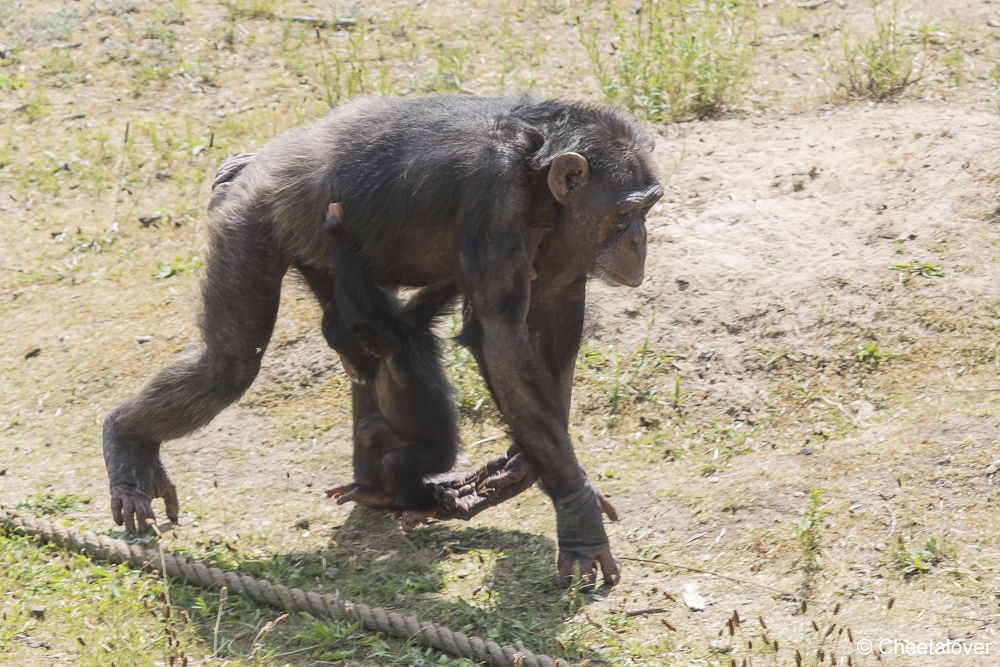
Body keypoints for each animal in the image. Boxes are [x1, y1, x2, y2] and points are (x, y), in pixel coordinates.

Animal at [103, 94, 664, 584]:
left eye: (647, 209)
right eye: (625, 213)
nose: (640, 240)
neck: (533, 168)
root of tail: (245, 167)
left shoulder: (568, 236)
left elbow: (556, 312)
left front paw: (524, 467)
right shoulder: (494, 200)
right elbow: (501, 337)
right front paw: (579, 520)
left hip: (324, 262)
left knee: (356, 351)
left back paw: (384, 490)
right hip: (250, 222)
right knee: (229, 363)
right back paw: (129, 442)